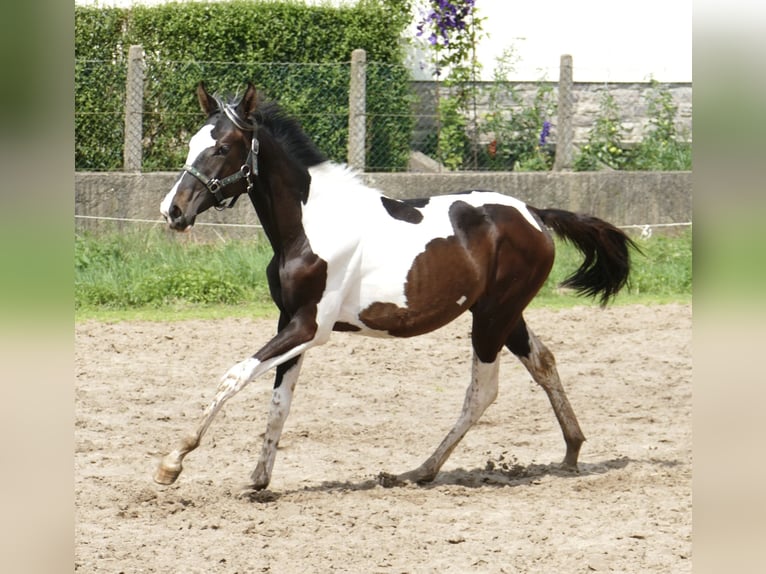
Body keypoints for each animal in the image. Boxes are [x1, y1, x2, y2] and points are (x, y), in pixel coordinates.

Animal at [154, 83, 636, 492]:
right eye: (192, 143)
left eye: (222, 147)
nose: (172, 211)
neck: (311, 225)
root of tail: (534, 213)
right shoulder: (288, 321)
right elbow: (279, 401)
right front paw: (258, 478)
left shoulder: (310, 327)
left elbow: (235, 375)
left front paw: (172, 462)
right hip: (504, 313)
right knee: (543, 362)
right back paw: (570, 451)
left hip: (492, 318)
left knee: (482, 392)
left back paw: (419, 471)